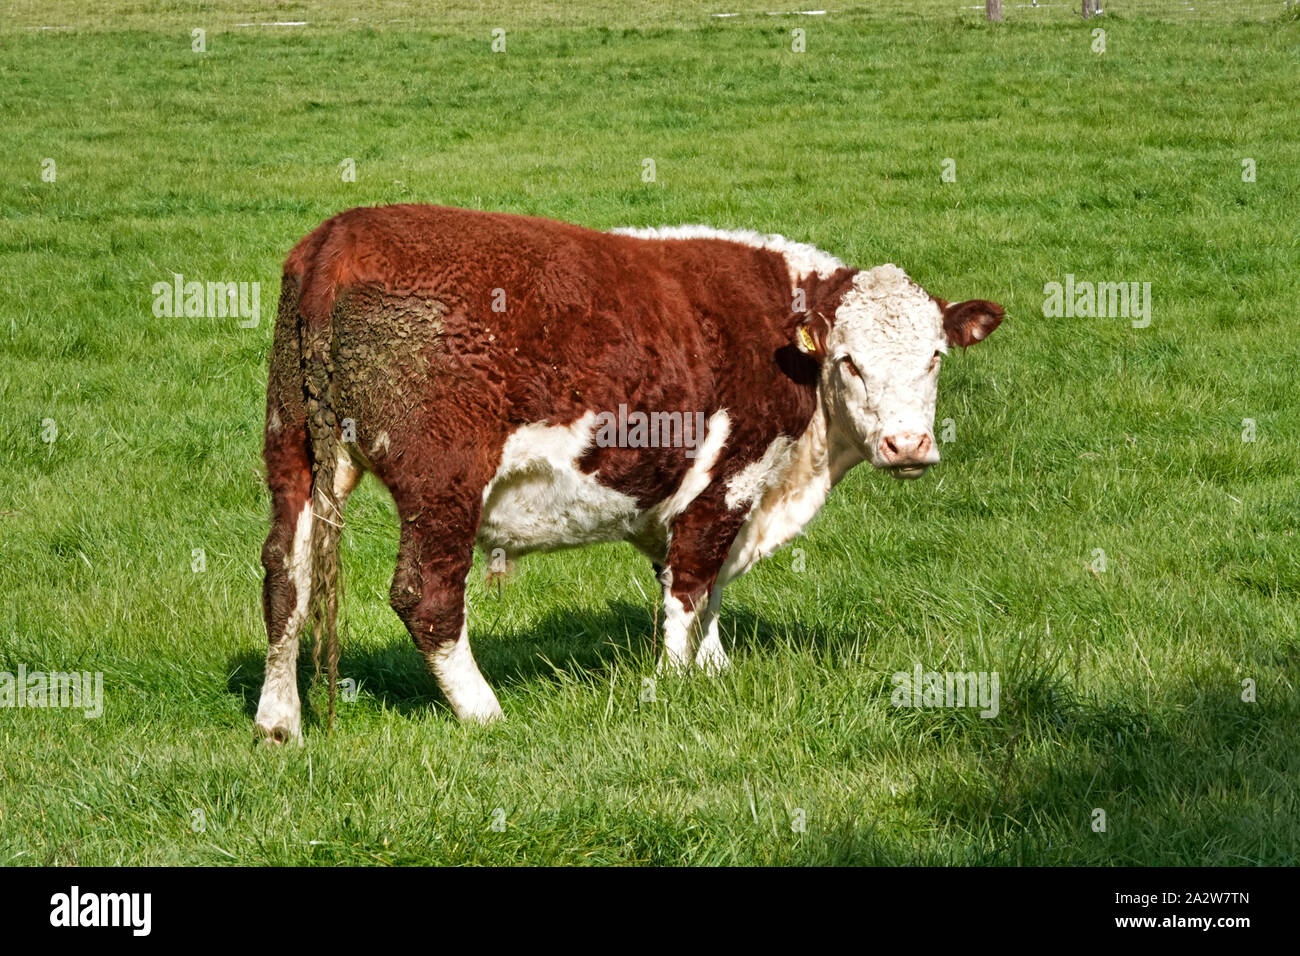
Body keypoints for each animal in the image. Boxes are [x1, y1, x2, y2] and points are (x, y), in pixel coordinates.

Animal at [256, 204, 1003, 738]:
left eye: (935, 355)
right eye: (849, 360)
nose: (908, 444)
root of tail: (340, 235)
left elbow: (703, 585)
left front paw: (714, 668)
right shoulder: (732, 476)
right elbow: (692, 585)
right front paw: (675, 683)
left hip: (294, 450)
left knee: (284, 574)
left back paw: (278, 722)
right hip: (445, 478)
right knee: (425, 596)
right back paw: (486, 712)